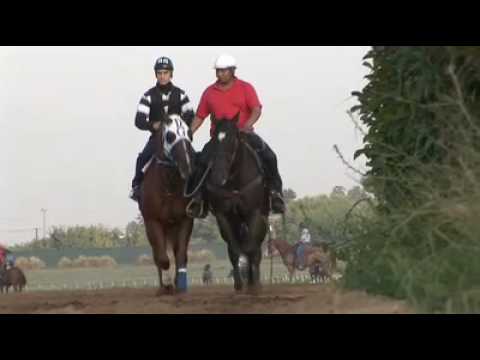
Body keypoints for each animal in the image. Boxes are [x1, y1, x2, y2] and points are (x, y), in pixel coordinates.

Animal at [140, 115, 196, 296]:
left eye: (190, 134)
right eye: (170, 136)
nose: (187, 166)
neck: (169, 185)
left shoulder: (185, 219)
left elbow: (181, 254)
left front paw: (179, 284)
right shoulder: (153, 221)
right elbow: (162, 259)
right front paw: (167, 283)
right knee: (158, 255)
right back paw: (162, 287)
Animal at [205, 116, 268, 294]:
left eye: (233, 140)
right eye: (214, 140)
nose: (218, 176)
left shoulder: (254, 213)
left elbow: (251, 248)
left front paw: (254, 283)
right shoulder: (223, 216)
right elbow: (234, 250)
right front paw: (239, 285)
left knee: (255, 249)